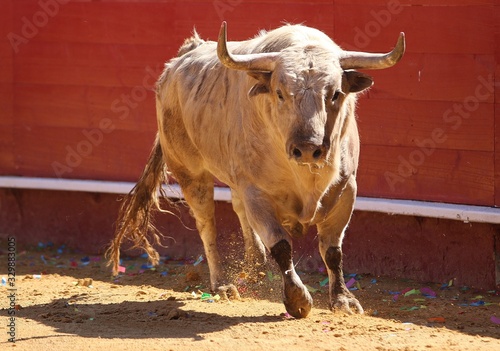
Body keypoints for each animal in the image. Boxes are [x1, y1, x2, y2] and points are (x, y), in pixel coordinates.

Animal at [107, 22, 404, 320]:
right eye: (280, 93)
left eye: (335, 94)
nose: (307, 148)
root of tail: (180, 59)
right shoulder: (257, 194)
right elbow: (281, 246)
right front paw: (297, 299)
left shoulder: (346, 190)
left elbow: (332, 251)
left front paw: (344, 300)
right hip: (190, 173)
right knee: (207, 224)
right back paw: (222, 284)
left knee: (238, 208)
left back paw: (255, 266)